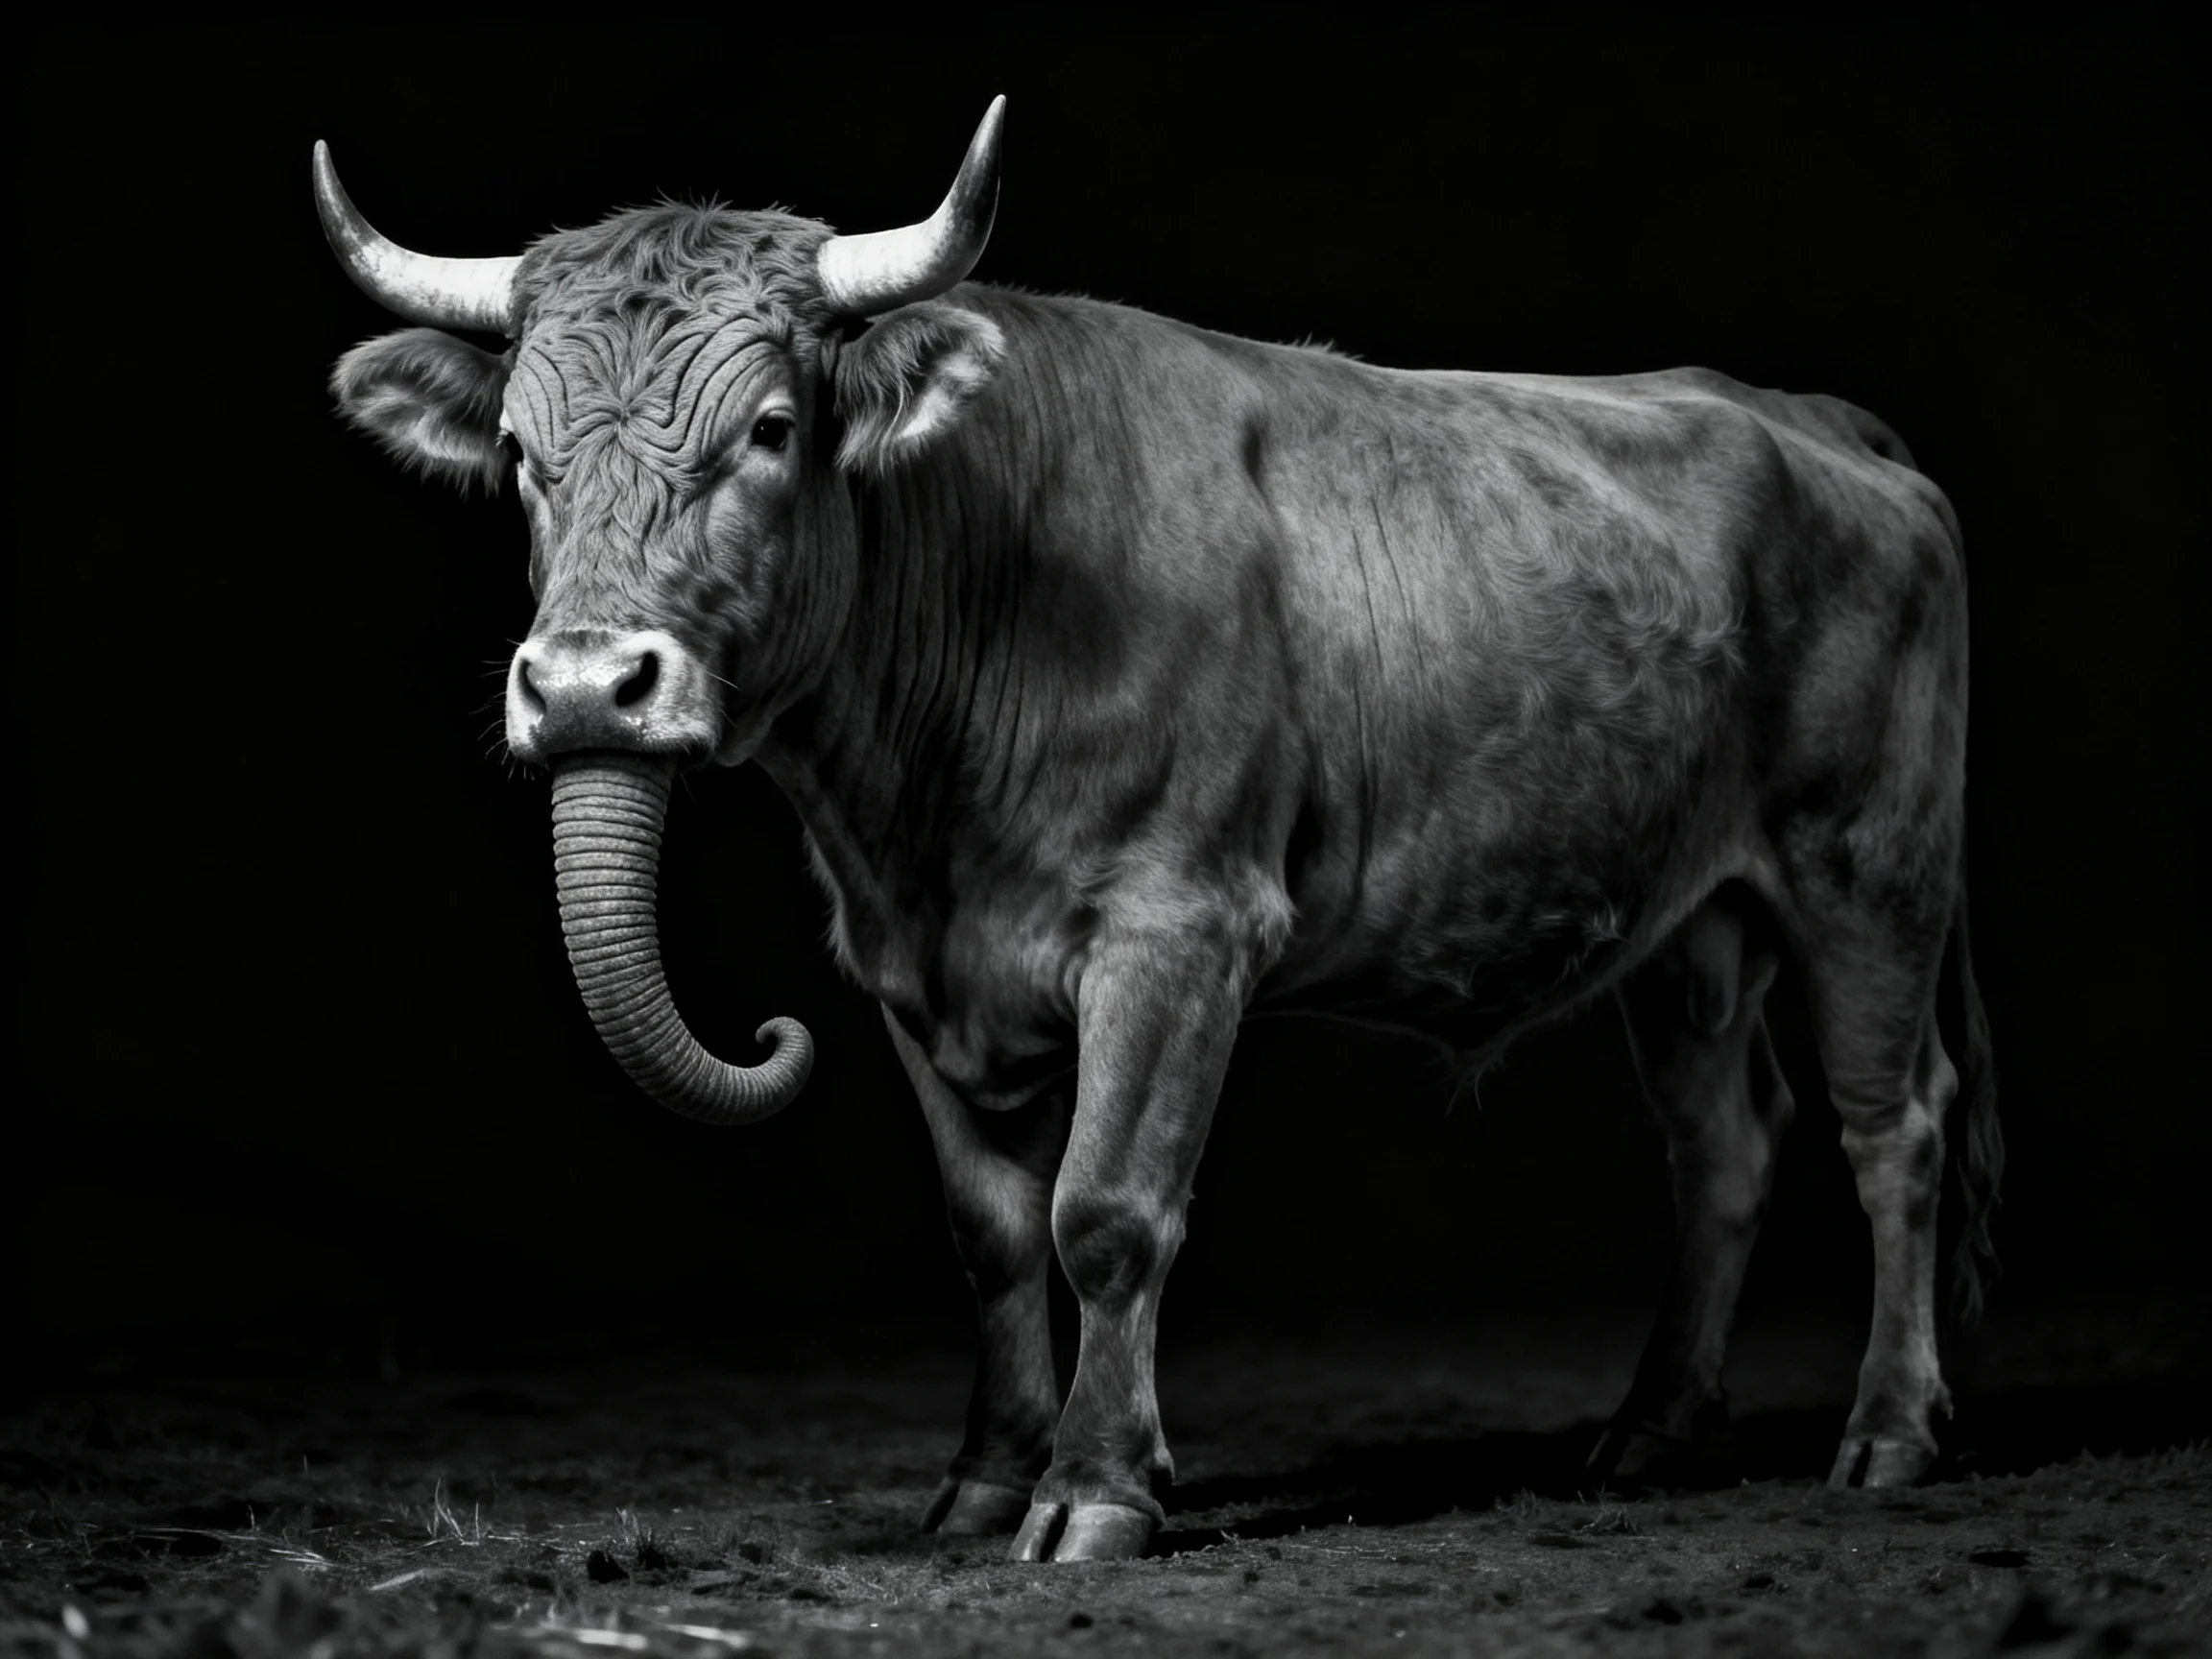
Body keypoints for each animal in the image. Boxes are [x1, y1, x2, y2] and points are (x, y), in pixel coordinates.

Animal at [316, 98, 2001, 1562]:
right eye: (519, 454)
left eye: (775, 428)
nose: (585, 685)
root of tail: (1797, 412)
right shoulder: (912, 965)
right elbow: (993, 1230)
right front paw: (984, 1485)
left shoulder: (1180, 929)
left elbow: (1108, 1212)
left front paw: (1095, 1495)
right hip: (1691, 922)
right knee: (1725, 1140)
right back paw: (1650, 1437)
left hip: (1870, 868)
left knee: (1894, 1125)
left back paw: (1888, 1432)